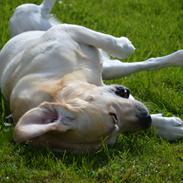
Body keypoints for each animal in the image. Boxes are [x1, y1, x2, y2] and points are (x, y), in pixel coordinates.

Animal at [0, 0, 182, 152]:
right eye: (115, 122)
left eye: (113, 116)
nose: (145, 119)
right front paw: (168, 126)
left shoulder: (66, 31)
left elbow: (110, 42)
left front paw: (125, 44)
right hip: (110, 69)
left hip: (27, 15)